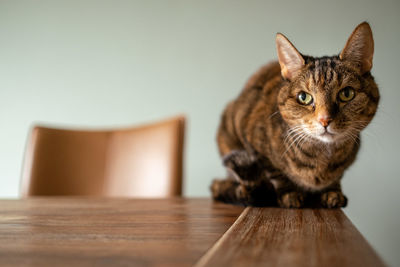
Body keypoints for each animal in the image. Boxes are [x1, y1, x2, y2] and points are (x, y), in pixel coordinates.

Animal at [211, 22, 380, 209]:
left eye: (347, 94)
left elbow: (337, 176)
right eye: (304, 97)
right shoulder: (253, 142)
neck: (323, 158)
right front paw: (289, 194)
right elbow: (274, 172)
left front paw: (333, 191)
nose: (325, 119)